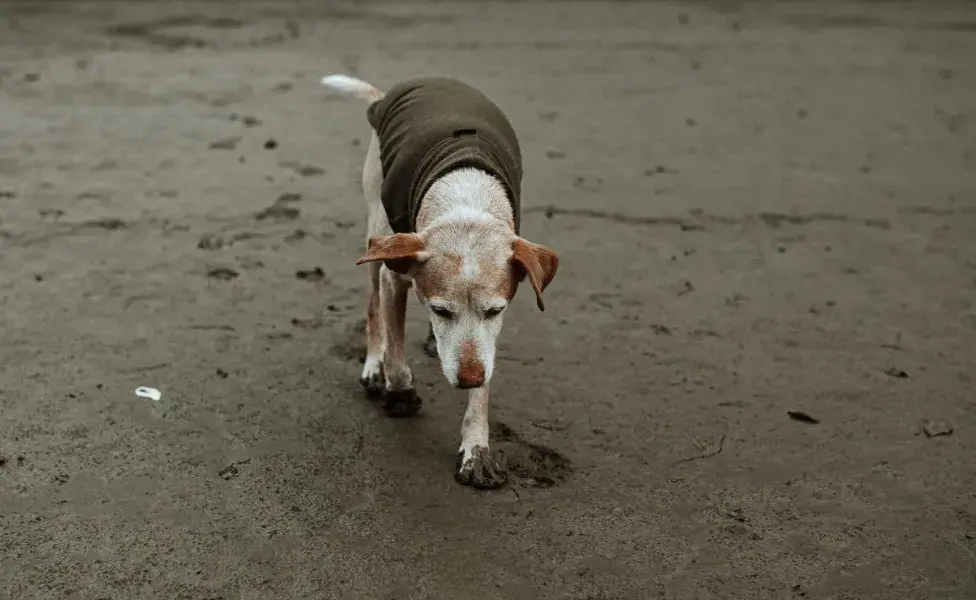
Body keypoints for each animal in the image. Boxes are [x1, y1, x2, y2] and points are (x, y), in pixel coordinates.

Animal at [324, 75, 560, 488]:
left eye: (495, 310)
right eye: (439, 309)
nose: (468, 379)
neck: (463, 199)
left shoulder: (490, 334)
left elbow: (484, 381)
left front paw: (476, 447)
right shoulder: (393, 274)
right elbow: (396, 353)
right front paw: (400, 393)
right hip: (375, 228)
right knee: (372, 309)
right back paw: (373, 364)